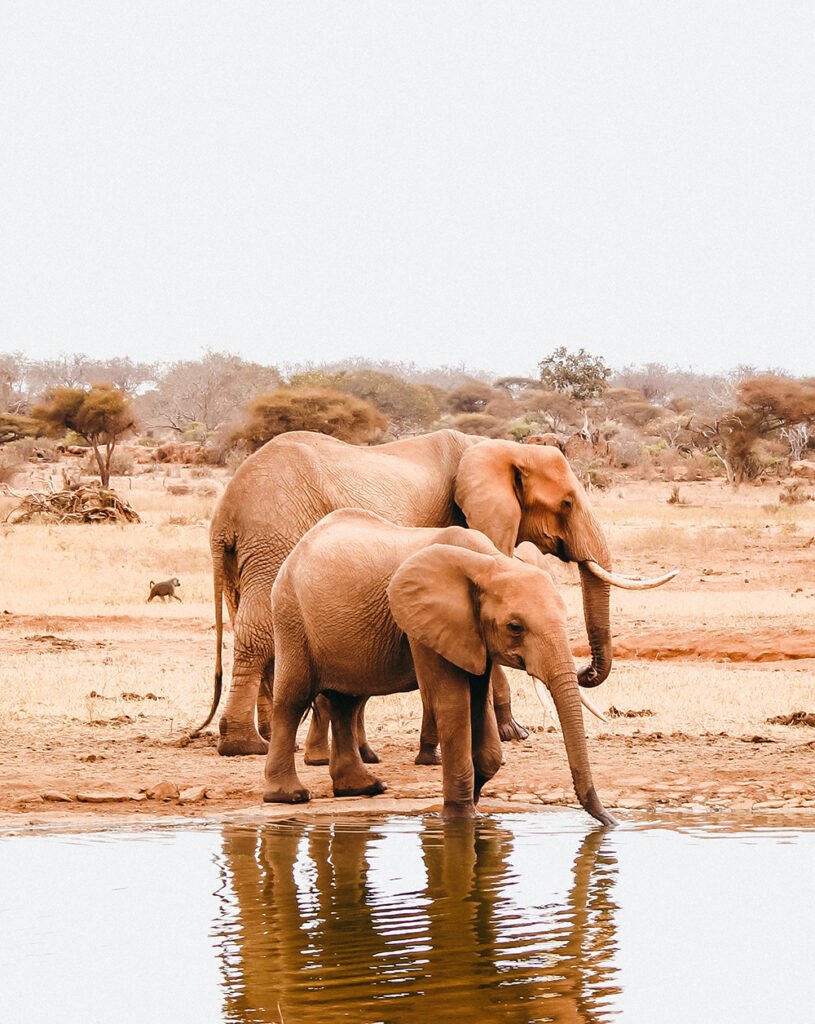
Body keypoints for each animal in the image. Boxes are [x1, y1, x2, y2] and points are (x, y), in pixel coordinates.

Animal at [197, 428, 675, 757]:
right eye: (567, 504)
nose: (584, 672)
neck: (496, 447)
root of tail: (224, 514)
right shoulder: (467, 525)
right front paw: (513, 733)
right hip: (274, 536)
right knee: (259, 631)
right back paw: (246, 746)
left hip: (252, 552)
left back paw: (276, 739)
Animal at [262, 508, 616, 825]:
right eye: (515, 627)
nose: (609, 821)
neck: (489, 563)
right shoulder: (423, 625)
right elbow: (453, 702)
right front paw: (460, 818)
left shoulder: (472, 634)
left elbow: (479, 704)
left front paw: (475, 804)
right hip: (291, 614)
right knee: (293, 699)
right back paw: (289, 796)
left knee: (346, 702)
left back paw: (363, 789)